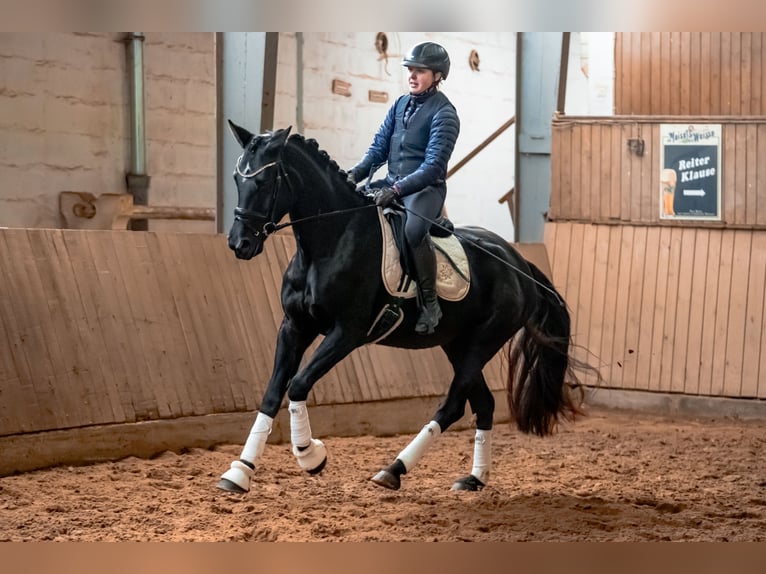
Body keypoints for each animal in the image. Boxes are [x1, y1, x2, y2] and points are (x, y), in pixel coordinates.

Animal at [218, 122, 583, 494]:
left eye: (264, 181)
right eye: (237, 178)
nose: (239, 243)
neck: (331, 240)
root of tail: (518, 261)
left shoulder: (346, 333)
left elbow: (299, 384)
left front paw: (310, 455)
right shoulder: (294, 326)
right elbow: (273, 392)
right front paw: (240, 471)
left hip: (483, 342)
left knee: (452, 405)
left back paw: (393, 470)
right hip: (458, 344)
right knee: (483, 403)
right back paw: (474, 478)